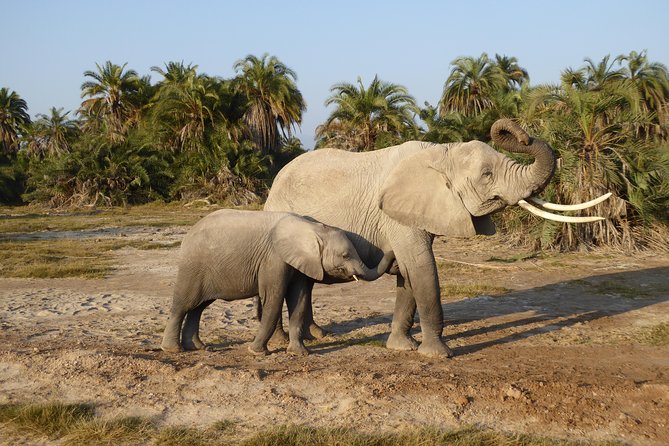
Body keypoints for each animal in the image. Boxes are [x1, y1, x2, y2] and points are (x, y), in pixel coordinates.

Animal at [160, 209, 394, 356]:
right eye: (345, 255)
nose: (392, 253)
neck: (312, 228)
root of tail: (189, 232)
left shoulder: (299, 264)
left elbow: (299, 301)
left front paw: (300, 353)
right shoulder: (273, 259)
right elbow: (273, 300)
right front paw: (257, 352)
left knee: (198, 307)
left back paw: (198, 347)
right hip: (192, 267)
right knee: (184, 305)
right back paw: (172, 350)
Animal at [264, 120, 604, 358]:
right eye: (487, 175)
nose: (522, 136)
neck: (441, 152)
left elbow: (410, 273)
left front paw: (403, 347)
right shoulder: (397, 216)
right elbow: (421, 268)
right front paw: (440, 355)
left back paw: (317, 335)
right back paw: (283, 342)